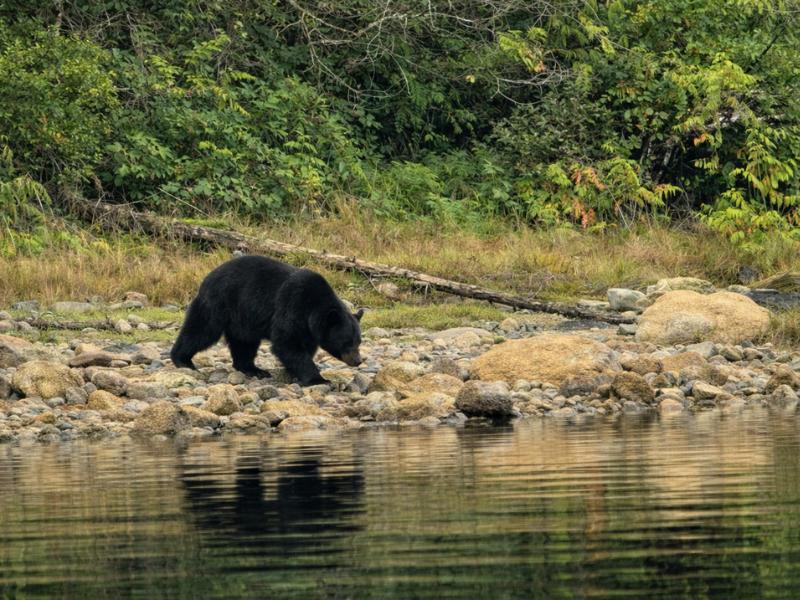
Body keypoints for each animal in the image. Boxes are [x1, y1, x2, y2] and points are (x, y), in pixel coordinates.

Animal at [170, 255, 363, 386]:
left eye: (358, 341)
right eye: (347, 342)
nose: (358, 361)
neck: (311, 309)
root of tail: (207, 277)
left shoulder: (308, 330)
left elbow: (303, 348)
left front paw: (292, 372)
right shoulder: (291, 307)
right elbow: (287, 343)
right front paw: (318, 379)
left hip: (242, 319)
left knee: (244, 343)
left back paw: (254, 370)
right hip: (219, 302)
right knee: (201, 330)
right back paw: (182, 359)